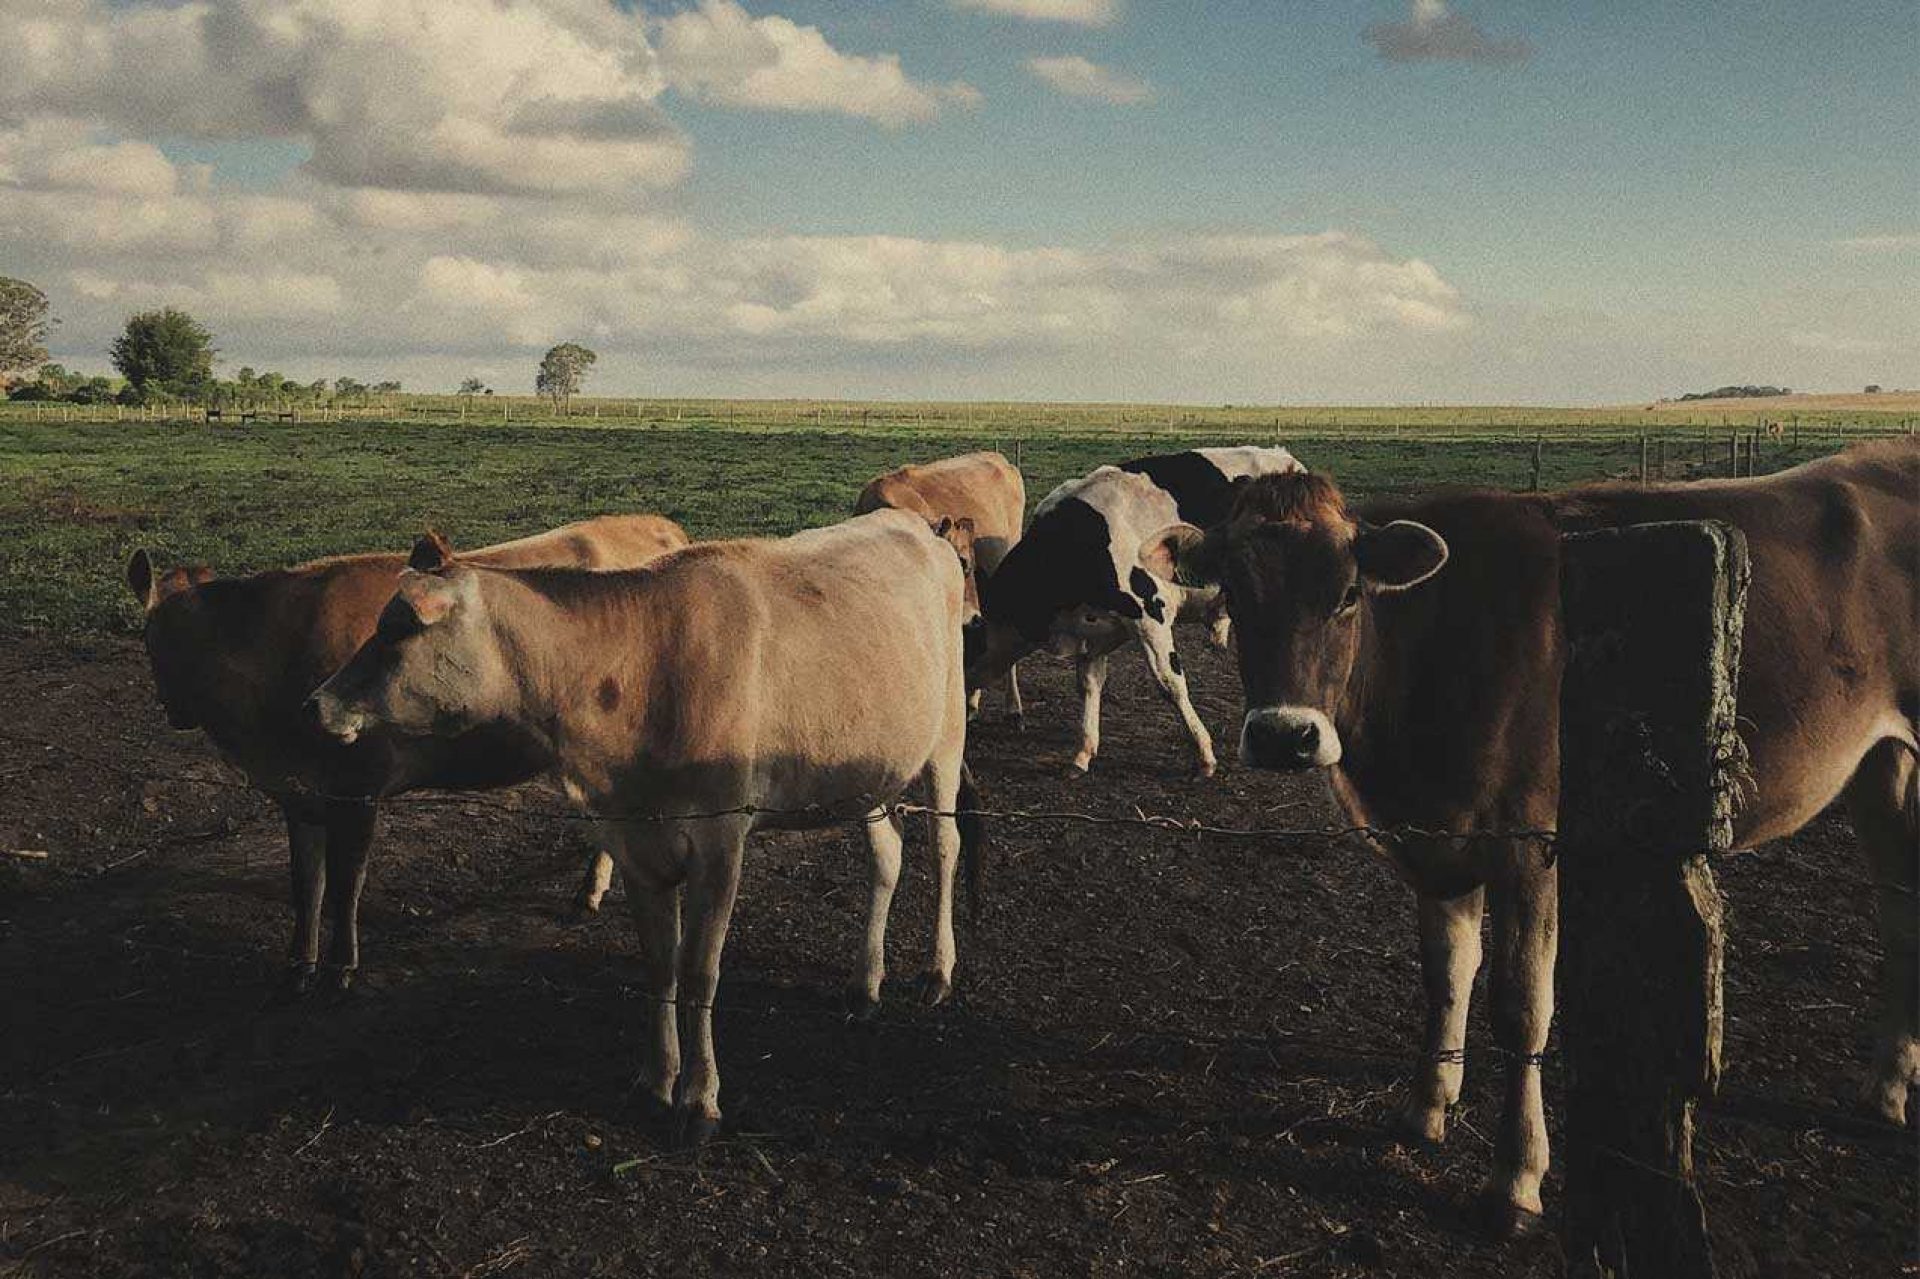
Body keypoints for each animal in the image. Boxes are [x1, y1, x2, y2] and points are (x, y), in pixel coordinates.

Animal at [125, 514, 691, 990]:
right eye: (154, 636)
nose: (176, 708)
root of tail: (662, 527)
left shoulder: (357, 786)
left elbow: (345, 883)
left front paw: (339, 969)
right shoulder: (298, 794)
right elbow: (306, 883)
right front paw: (297, 964)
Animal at [311, 510, 990, 1144]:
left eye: (396, 628)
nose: (316, 704)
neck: (639, 674)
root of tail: (917, 526)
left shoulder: (721, 839)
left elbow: (699, 973)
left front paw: (700, 1101)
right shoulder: (634, 841)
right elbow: (661, 966)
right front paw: (655, 1082)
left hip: (946, 737)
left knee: (945, 845)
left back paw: (937, 971)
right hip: (867, 773)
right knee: (886, 855)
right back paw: (864, 985)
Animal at [975, 443, 1305, 772]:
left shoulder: (1150, 616)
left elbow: (1171, 684)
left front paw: (1204, 752)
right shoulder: (1092, 633)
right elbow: (1089, 685)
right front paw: (1083, 751)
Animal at [1152, 435, 1920, 1229]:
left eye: (1348, 593)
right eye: (1235, 595)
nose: (1285, 736)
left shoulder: (1529, 844)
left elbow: (1522, 1007)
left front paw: (1516, 1175)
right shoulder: (1437, 840)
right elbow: (1446, 975)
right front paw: (1427, 1106)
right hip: (1879, 767)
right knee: (1901, 911)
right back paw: (1888, 1084)